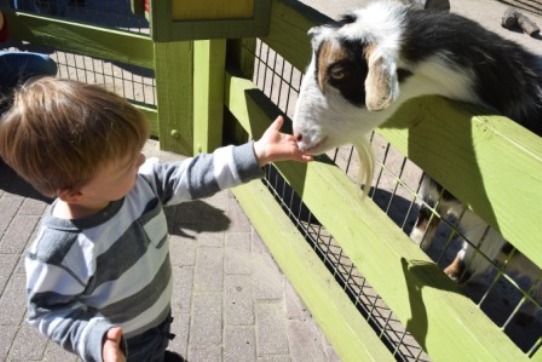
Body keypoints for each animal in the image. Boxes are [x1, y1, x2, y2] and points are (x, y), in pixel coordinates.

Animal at [296, 0, 540, 316]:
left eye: (338, 71)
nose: (299, 135)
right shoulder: (432, 198)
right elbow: (418, 240)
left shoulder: (490, 236)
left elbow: (459, 271)